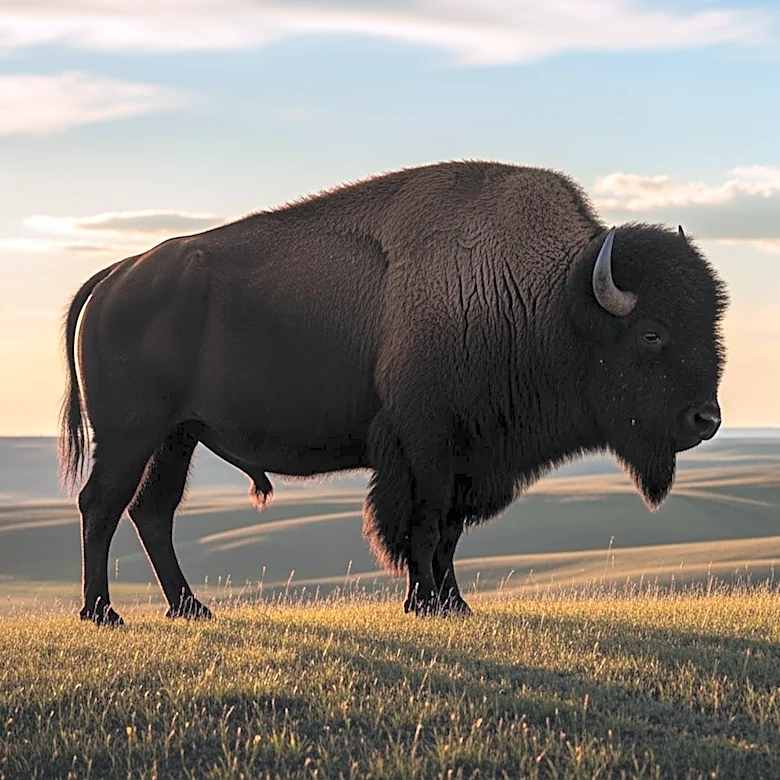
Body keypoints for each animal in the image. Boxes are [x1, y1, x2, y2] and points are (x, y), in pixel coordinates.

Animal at [59, 160, 728, 625]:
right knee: (102, 504)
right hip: (131, 434)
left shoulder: (466, 456)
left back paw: (190, 607)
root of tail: (115, 275)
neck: (546, 299)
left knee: (153, 511)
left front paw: (454, 604)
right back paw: (103, 613)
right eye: (652, 333)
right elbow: (423, 526)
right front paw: (426, 603)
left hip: (177, 437)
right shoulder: (425, 446)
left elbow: (449, 532)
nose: (707, 419)